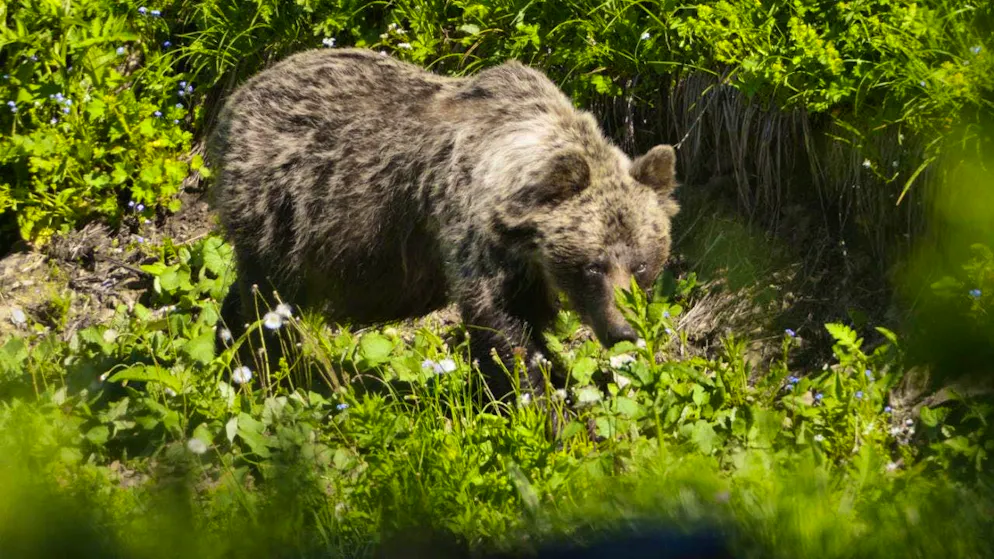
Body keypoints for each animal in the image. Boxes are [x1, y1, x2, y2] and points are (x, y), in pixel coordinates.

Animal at [207, 47, 680, 400]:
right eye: (592, 266)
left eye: (641, 264)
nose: (624, 330)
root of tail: (237, 97)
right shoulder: (471, 232)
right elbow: (503, 329)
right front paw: (546, 406)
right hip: (283, 210)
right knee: (265, 300)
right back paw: (259, 369)